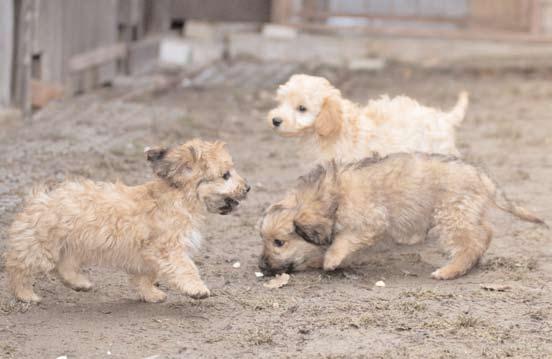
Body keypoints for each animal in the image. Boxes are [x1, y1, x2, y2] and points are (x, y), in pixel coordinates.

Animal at [3, 139, 250, 302]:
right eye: (226, 175)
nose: (247, 188)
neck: (178, 197)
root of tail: (37, 198)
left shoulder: (146, 255)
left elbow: (146, 276)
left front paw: (150, 294)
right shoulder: (167, 248)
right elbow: (186, 267)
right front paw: (196, 288)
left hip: (71, 246)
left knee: (64, 266)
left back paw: (79, 282)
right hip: (40, 248)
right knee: (17, 267)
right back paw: (25, 294)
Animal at [260, 153, 548, 280]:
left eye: (279, 242)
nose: (262, 267)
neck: (331, 196)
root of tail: (480, 175)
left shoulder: (370, 221)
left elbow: (342, 240)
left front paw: (331, 259)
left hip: (450, 214)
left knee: (471, 242)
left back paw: (449, 270)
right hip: (464, 213)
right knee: (485, 233)